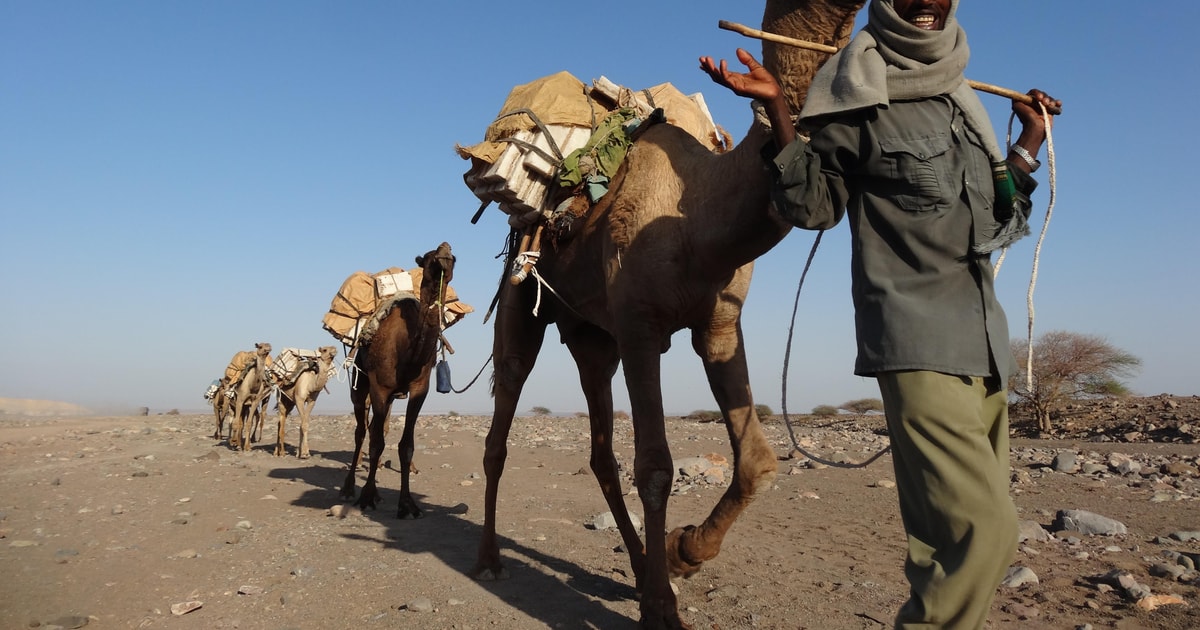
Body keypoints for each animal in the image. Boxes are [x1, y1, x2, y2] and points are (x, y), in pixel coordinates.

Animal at [343, 241, 458, 516]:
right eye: (428, 257)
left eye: (455, 258)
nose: (445, 250)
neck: (407, 349)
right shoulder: (380, 387)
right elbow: (376, 443)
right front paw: (366, 497)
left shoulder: (419, 390)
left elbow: (406, 446)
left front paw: (407, 504)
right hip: (360, 385)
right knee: (362, 431)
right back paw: (348, 488)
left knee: (376, 428)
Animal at [468, 2, 864, 624]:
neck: (698, 215)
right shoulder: (640, 329)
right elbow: (655, 466)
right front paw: (661, 605)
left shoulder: (719, 326)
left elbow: (757, 461)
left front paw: (684, 553)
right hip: (523, 301)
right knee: (502, 420)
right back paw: (489, 558)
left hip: (592, 340)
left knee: (601, 451)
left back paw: (635, 566)